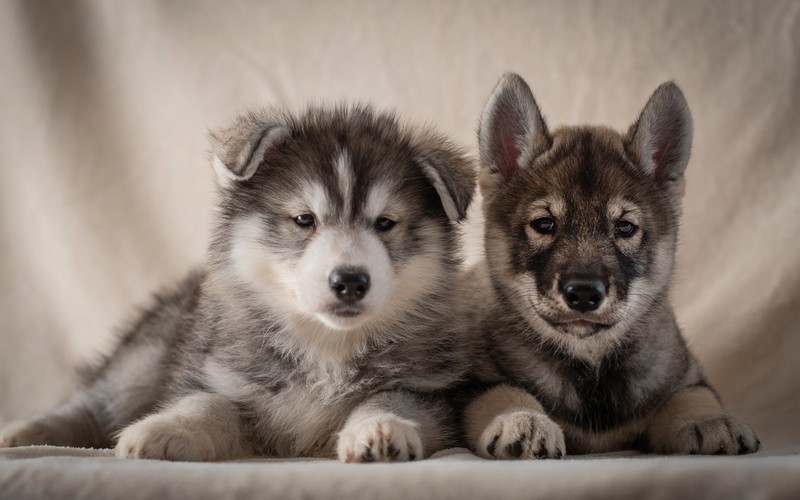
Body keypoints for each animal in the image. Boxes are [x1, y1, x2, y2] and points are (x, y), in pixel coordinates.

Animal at [0, 103, 476, 462]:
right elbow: (205, 403)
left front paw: (381, 428)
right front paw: (166, 427)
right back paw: (25, 431)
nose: (350, 280)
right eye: (304, 219)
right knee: (93, 403)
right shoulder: (225, 378)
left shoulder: (428, 391)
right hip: (146, 355)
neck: (326, 346)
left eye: (385, 223)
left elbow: (387, 399)